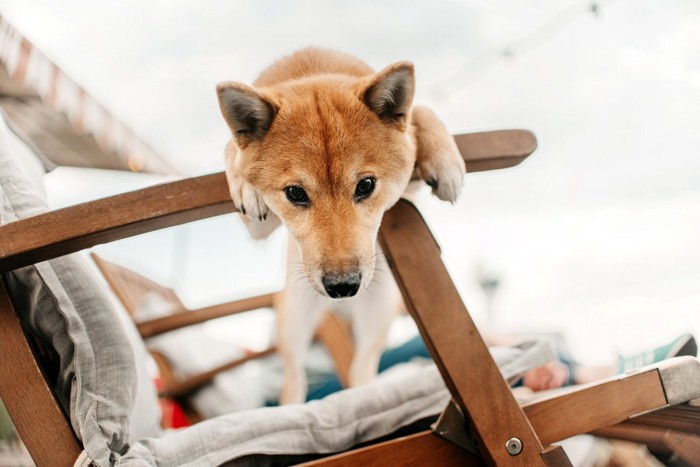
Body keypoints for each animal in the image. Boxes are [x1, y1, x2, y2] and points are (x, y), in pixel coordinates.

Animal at [215, 48, 464, 406]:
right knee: (294, 378)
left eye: (366, 185)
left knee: (361, 368)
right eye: (295, 193)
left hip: (377, 310)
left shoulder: (408, 189)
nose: (343, 287)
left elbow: (423, 111)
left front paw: (446, 161)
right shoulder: (256, 229)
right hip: (293, 321)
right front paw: (245, 183)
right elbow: (230, 148)